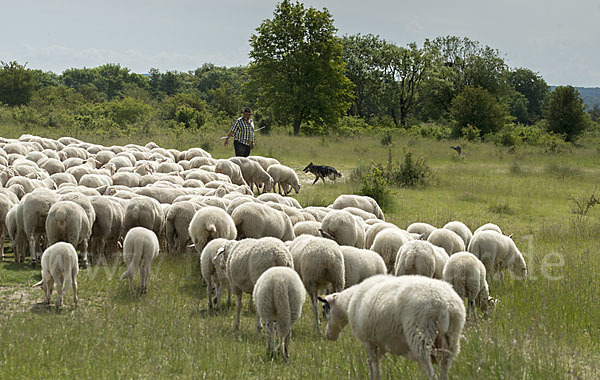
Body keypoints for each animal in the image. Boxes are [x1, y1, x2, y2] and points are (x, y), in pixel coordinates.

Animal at [316, 274, 466, 380]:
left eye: (325, 308)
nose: (329, 336)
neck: (348, 303)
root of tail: (444, 304)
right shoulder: (381, 342)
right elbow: (374, 363)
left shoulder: (368, 341)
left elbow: (373, 364)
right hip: (451, 338)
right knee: (445, 368)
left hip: (420, 335)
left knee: (430, 373)